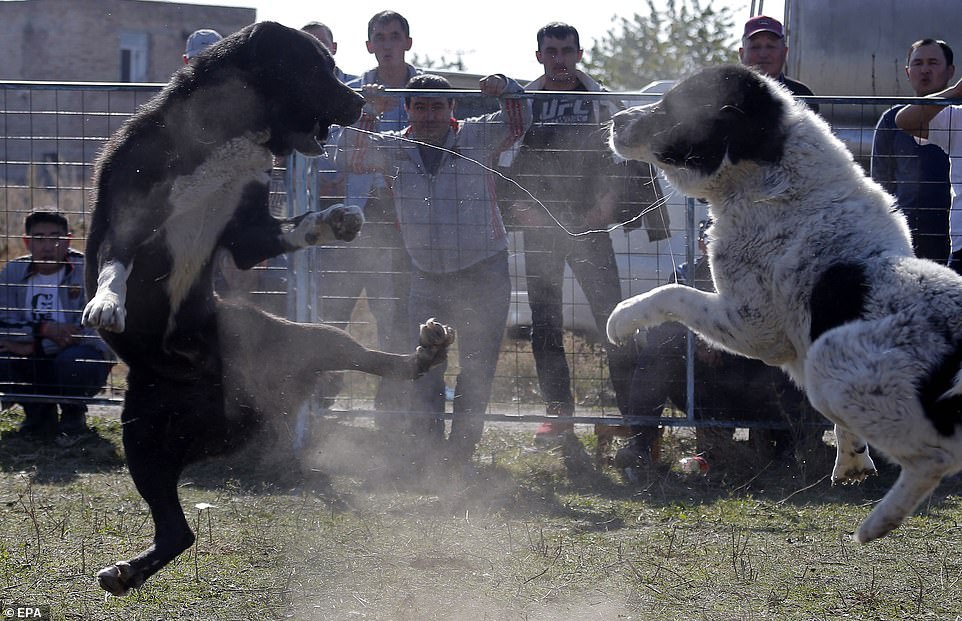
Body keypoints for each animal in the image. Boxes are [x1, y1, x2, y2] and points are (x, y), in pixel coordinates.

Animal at [80, 23, 452, 596]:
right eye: (315, 67)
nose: (360, 100)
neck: (225, 134)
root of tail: (246, 400)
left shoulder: (250, 229)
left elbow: (292, 227)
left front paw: (336, 219)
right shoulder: (128, 211)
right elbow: (114, 263)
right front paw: (107, 302)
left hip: (306, 338)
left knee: (373, 359)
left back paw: (427, 350)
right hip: (142, 434)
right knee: (178, 530)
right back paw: (127, 572)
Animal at [608, 64, 960, 544]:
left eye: (668, 106)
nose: (614, 119)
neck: (766, 177)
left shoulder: (755, 327)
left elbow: (673, 294)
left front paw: (621, 318)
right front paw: (852, 459)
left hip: (833, 366)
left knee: (935, 458)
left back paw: (877, 523)